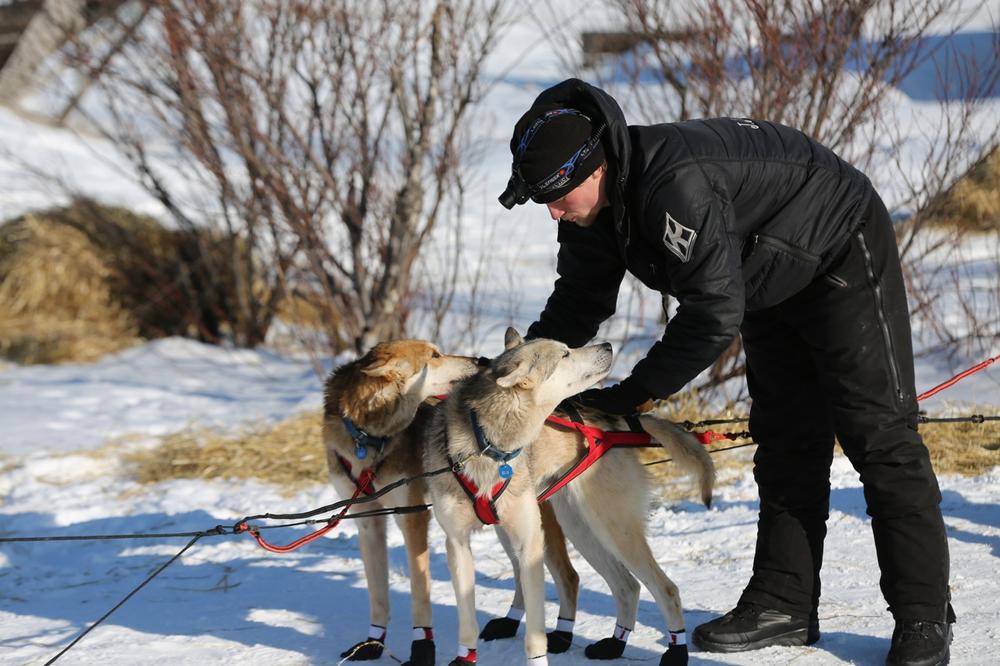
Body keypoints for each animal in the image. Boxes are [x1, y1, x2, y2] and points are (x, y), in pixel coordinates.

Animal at [425, 328, 715, 666]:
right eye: (564, 354)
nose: (608, 345)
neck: (487, 445)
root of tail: (617, 422)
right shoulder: (457, 544)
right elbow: (466, 620)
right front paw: (464, 657)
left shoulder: (530, 544)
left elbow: (535, 635)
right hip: (580, 530)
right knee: (628, 586)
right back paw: (615, 643)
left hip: (612, 528)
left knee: (665, 588)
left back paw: (675, 650)